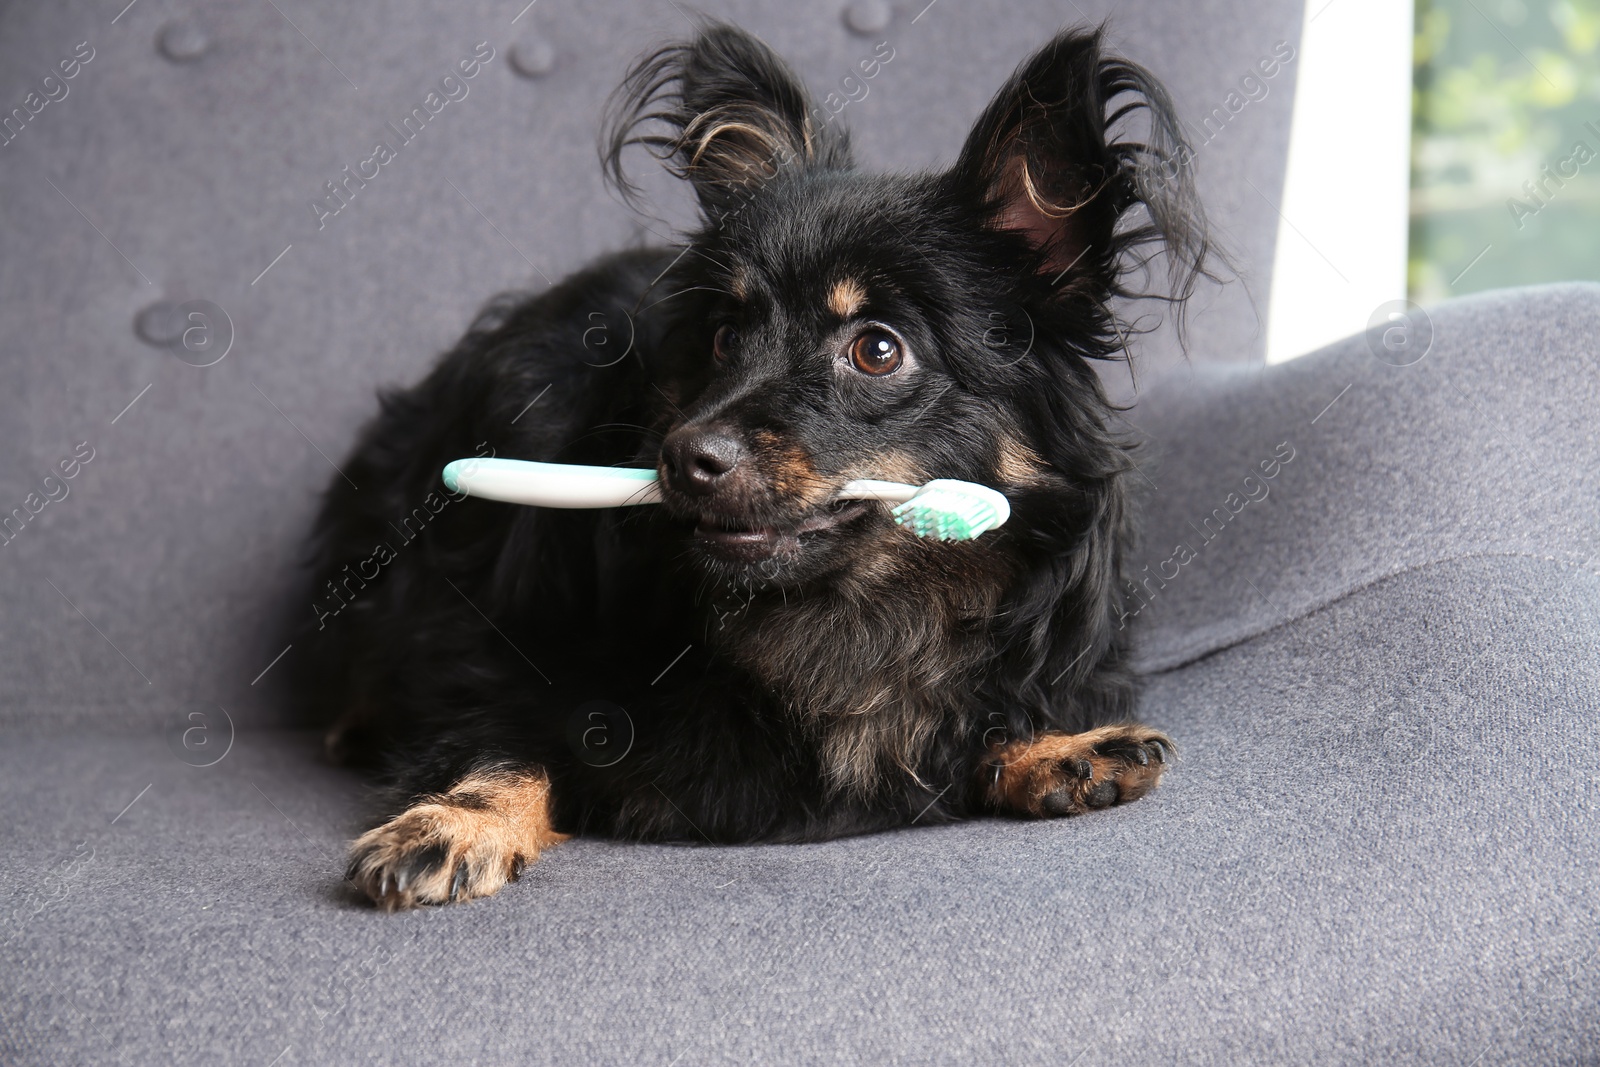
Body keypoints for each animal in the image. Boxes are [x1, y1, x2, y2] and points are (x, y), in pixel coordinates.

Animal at [305, 20, 1209, 908]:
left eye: (877, 349)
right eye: (724, 338)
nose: (683, 456)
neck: (850, 618)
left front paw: (1053, 745)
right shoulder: (483, 656)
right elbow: (502, 742)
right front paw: (456, 821)